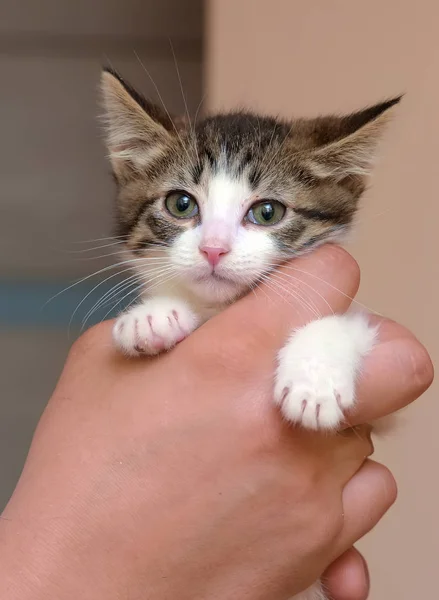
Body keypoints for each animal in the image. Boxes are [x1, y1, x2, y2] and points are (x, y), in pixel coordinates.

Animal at [101, 67, 400, 600]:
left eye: (267, 212)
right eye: (181, 204)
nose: (214, 249)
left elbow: (347, 324)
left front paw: (314, 383)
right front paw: (152, 314)